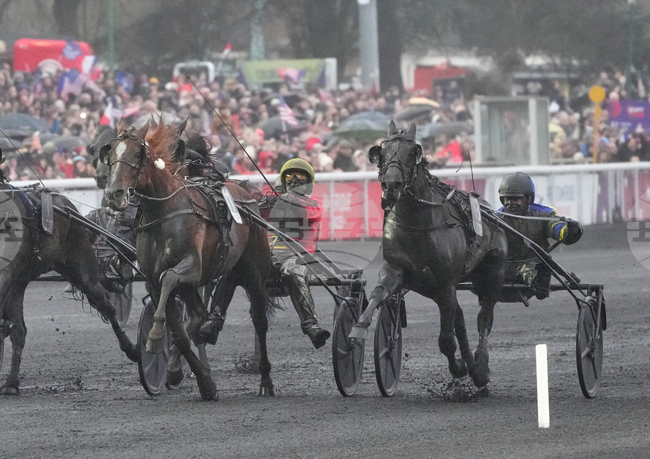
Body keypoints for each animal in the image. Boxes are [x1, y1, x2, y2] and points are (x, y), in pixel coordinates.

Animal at [0, 161, 139, 395]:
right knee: (18, 330)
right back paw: (11, 382)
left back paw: (131, 349)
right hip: (21, 281)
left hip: (81, 267)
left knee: (107, 306)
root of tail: (66, 206)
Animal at [102, 117, 274, 400]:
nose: (114, 193)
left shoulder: (191, 267)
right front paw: (196, 379)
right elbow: (180, 332)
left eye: (138, 154)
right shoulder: (154, 281)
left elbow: (170, 278)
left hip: (254, 270)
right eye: (111, 153)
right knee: (198, 319)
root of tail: (245, 193)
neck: (163, 211)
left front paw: (155, 337)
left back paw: (266, 381)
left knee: (259, 320)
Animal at [349, 122, 508, 388]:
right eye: (382, 152)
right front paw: (358, 328)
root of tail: (490, 211)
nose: (391, 186)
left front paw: (459, 367)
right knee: (460, 318)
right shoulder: (396, 271)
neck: (418, 225)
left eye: (412, 152)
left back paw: (480, 367)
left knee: (484, 317)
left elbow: (446, 340)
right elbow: (377, 294)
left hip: (492, 273)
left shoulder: (445, 284)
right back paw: (472, 364)